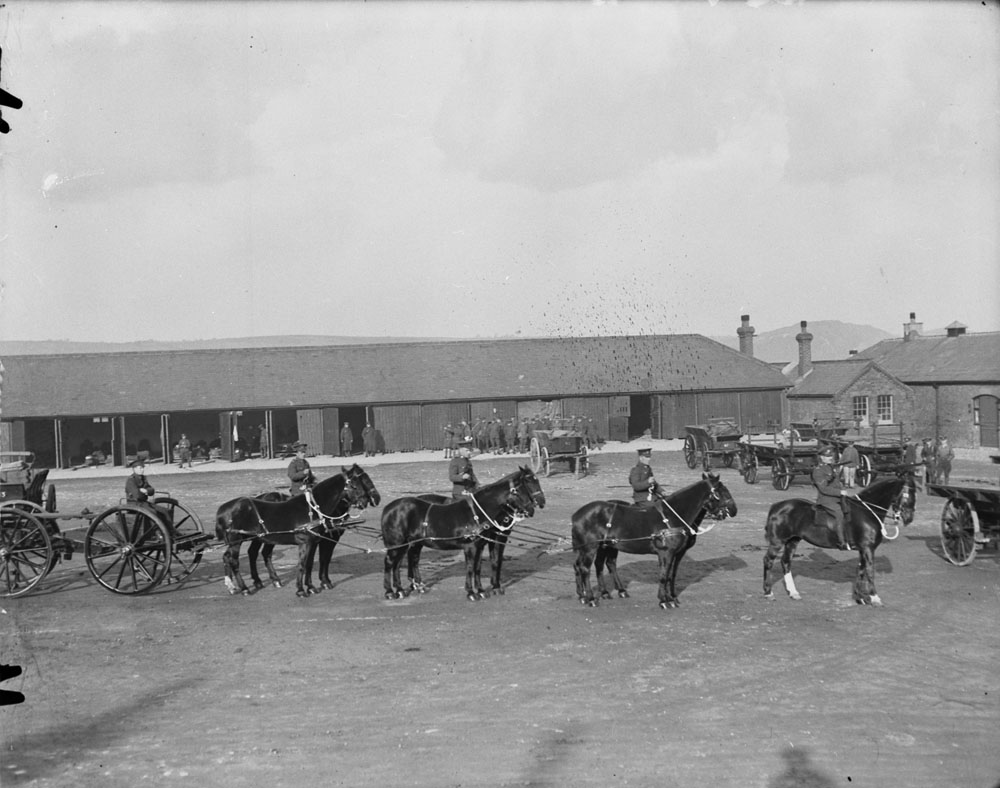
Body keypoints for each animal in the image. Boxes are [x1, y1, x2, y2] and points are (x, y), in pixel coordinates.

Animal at [215, 462, 378, 596]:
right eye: (356, 484)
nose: (371, 499)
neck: (312, 509)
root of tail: (223, 509)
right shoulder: (307, 542)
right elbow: (303, 564)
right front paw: (301, 590)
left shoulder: (315, 542)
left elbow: (311, 563)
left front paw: (311, 587)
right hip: (236, 541)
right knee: (234, 561)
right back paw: (244, 588)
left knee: (238, 556)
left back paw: (241, 585)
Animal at [380, 464, 544, 600]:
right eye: (527, 484)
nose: (539, 504)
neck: (477, 513)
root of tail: (389, 508)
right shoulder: (471, 546)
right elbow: (471, 568)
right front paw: (471, 592)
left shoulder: (481, 545)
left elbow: (478, 567)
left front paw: (481, 590)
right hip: (396, 544)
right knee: (390, 562)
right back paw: (390, 591)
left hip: (407, 544)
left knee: (401, 562)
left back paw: (403, 589)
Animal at [572, 474, 736, 608]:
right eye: (721, 492)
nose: (734, 510)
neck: (672, 516)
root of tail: (577, 515)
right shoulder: (666, 553)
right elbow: (664, 576)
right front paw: (664, 601)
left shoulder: (676, 553)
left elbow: (670, 575)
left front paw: (671, 598)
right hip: (590, 548)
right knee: (585, 568)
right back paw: (591, 598)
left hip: (604, 546)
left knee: (596, 565)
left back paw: (591, 595)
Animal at [760, 470, 916, 608]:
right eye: (907, 494)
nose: (909, 518)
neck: (867, 511)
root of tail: (777, 506)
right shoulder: (868, 548)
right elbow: (869, 571)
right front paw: (875, 598)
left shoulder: (862, 549)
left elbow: (861, 570)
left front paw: (860, 598)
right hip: (777, 542)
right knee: (768, 561)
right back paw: (769, 593)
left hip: (792, 541)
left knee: (786, 562)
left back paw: (793, 593)